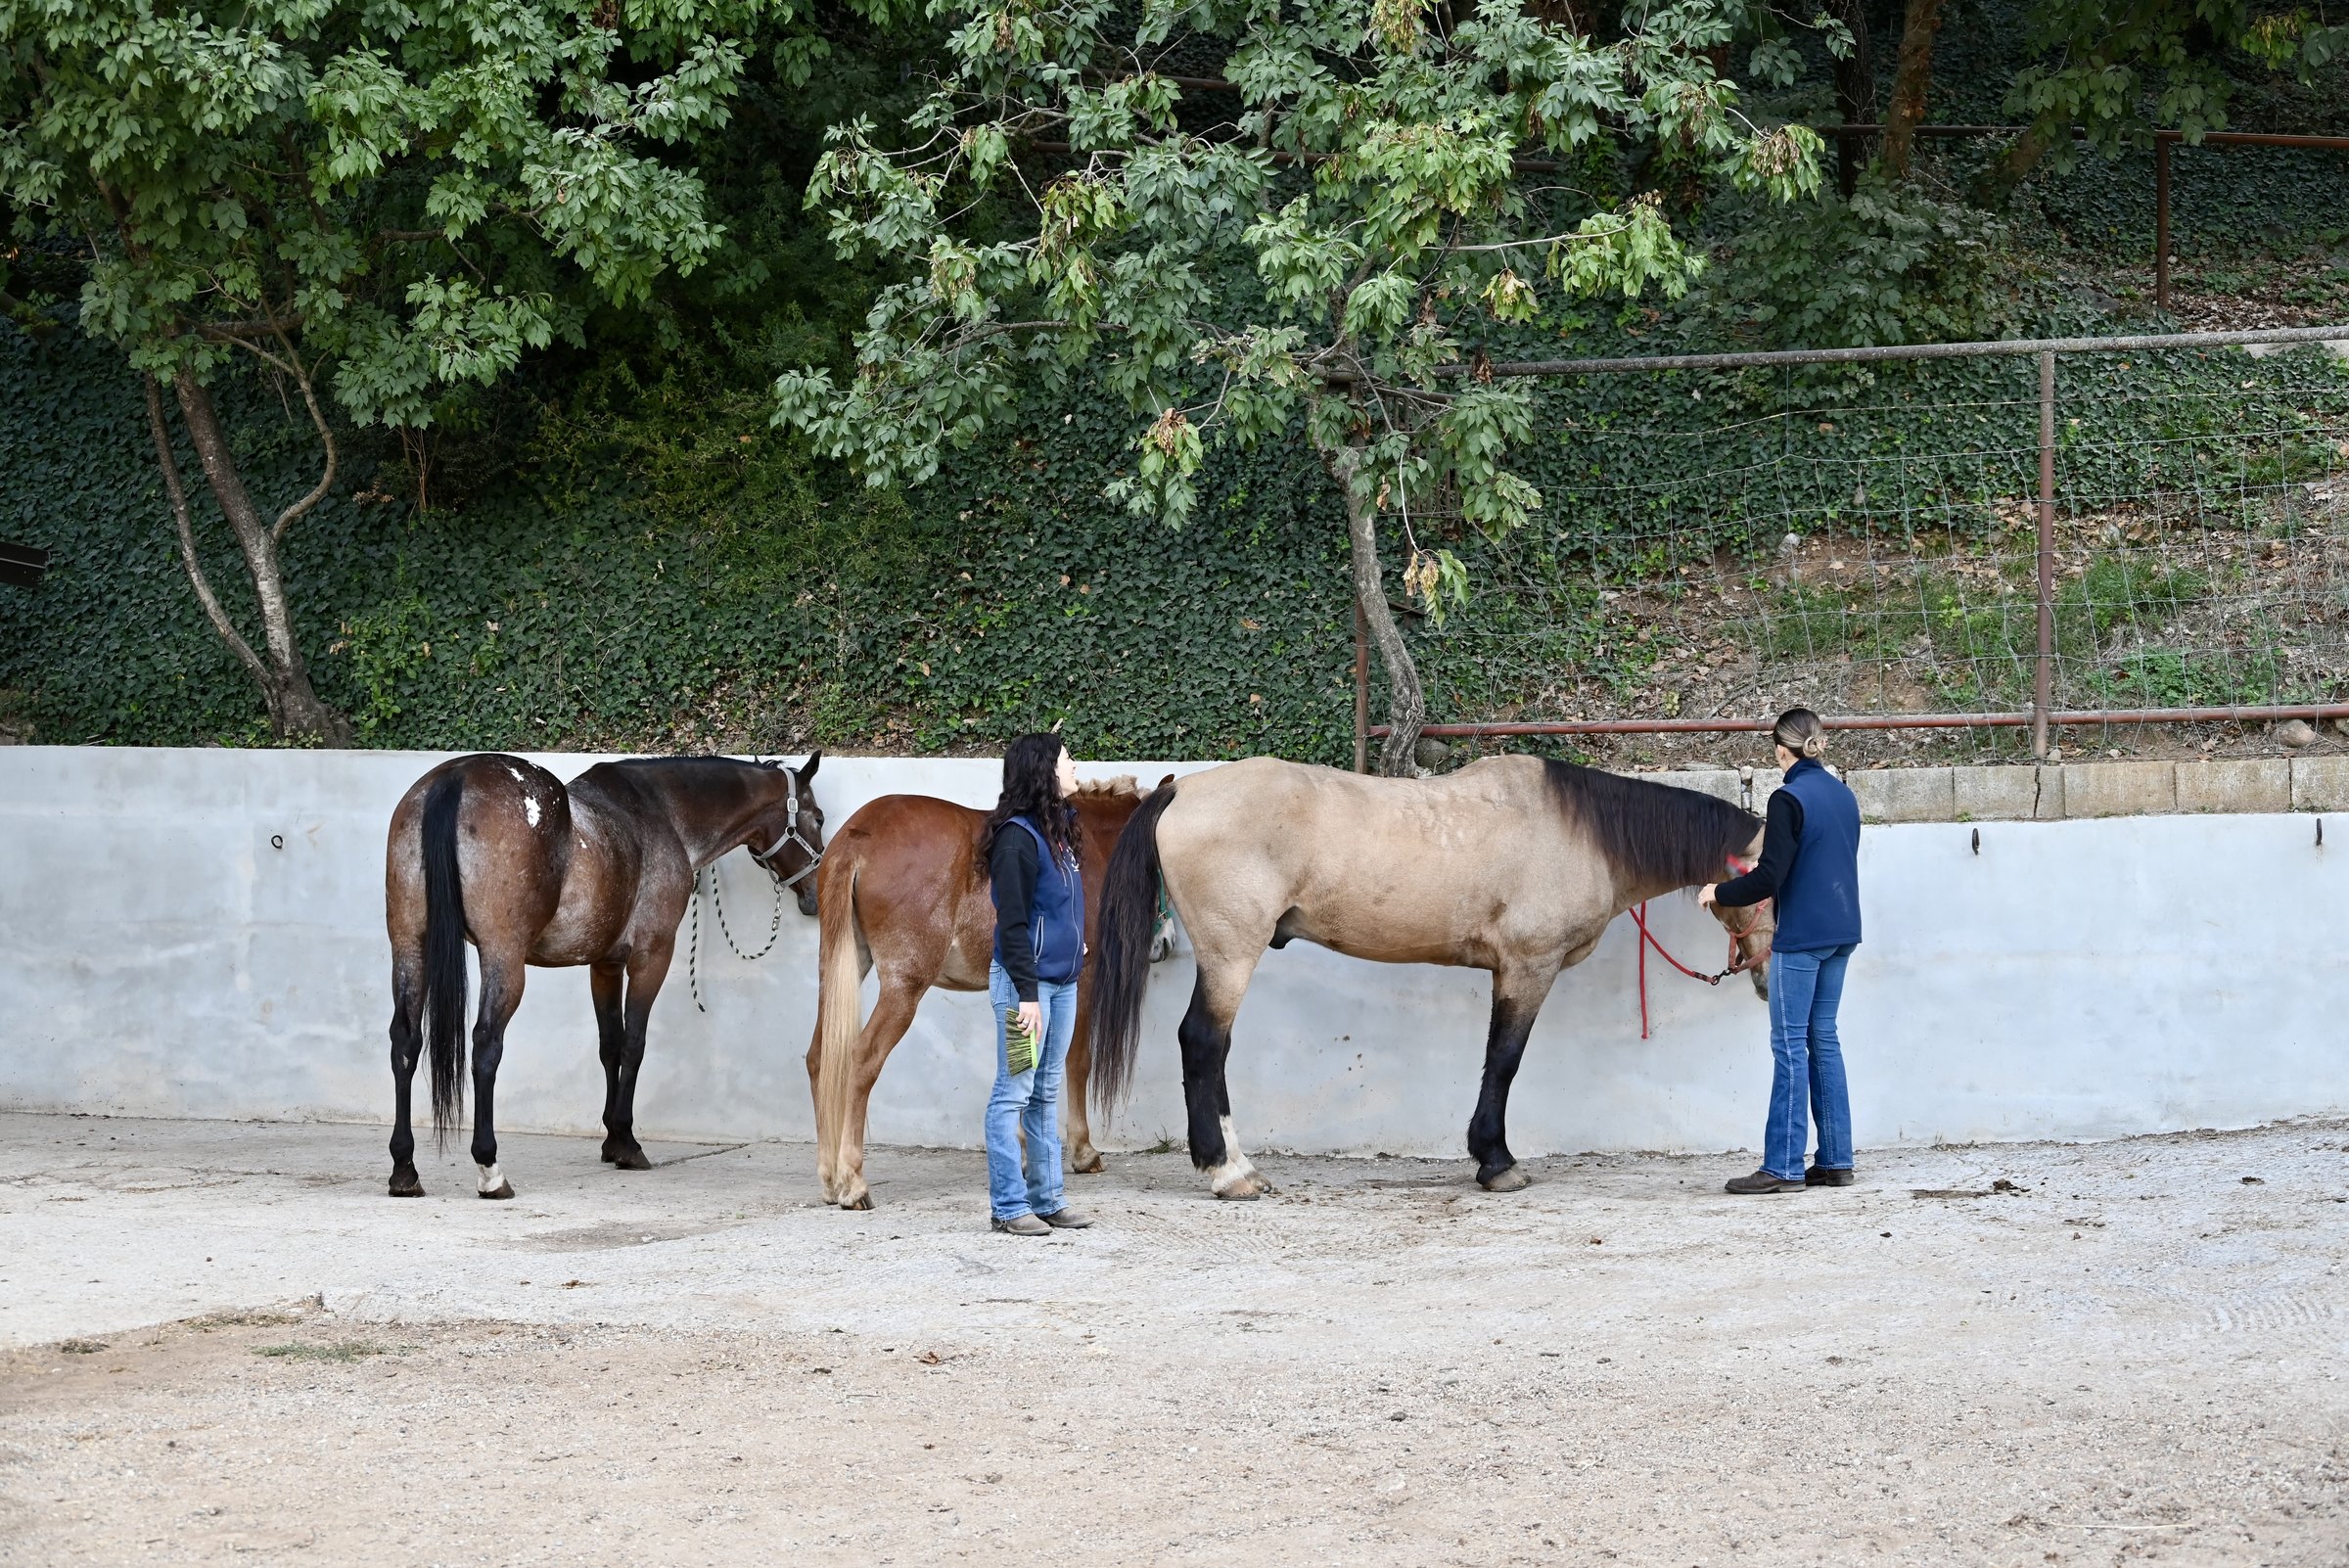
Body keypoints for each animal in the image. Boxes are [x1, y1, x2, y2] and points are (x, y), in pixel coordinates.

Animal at [383, 752, 826, 1200]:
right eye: (819, 818)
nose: (815, 894)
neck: (663, 811)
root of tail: (454, 778)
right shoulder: (651, 956)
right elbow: (633, 1044)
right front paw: (627, 1143)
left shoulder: (604, 964)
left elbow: (610, 1045)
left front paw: (611, 1140)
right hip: (502, 957)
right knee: (486, 1045)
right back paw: (489, 1169)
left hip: (410, 945)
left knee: (405, 1041)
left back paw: (404, 1168)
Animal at [808, 775, 1175, 1210]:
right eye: (1161, 863)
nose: (1167, 942)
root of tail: (856, 835)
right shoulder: (1077, 983)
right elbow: (1076, 1062)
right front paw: (1083, 1151)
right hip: (903, 987)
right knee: (862, 1058)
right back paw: (852, 1181)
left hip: (839, 967)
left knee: (819, 1056)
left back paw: (828, 1177)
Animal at [1087, 755, 1774, 1199]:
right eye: (1773, 880)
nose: (1767, 980)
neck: (1579, 833)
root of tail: (1182, 789)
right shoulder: (1527, 968)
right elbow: (1504, 1061)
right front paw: (1497, 1162)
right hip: (1231, 954)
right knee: (1204, 1043)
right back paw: (1229, 1172)